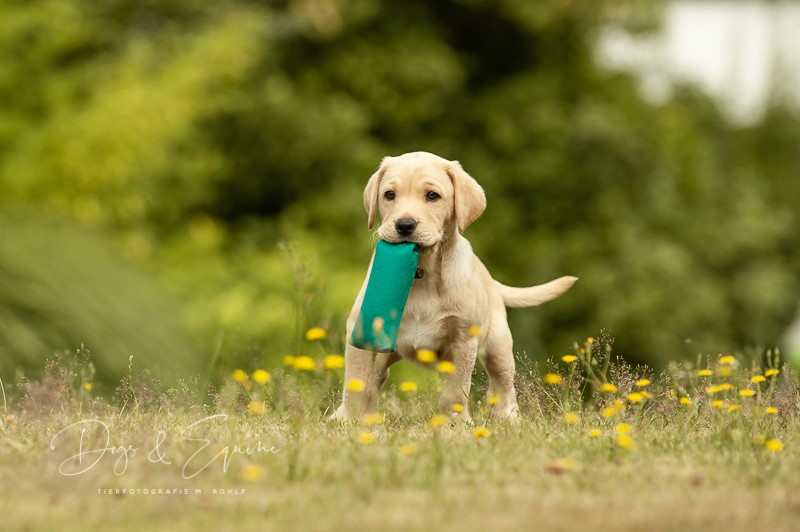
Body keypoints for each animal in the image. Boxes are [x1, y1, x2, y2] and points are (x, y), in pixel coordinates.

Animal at [332, 152, 576, 422]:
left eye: (432, 196)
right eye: (389, 194)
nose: (404, 225)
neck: (422, 273)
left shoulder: (463, 340)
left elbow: (456, 392)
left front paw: (457, 423)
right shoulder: (360, 331)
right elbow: (356, 381)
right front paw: (348, 420)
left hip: (498, 347)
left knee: (503, 385)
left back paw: (509, 418)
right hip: (389, 354)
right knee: (375, 380)